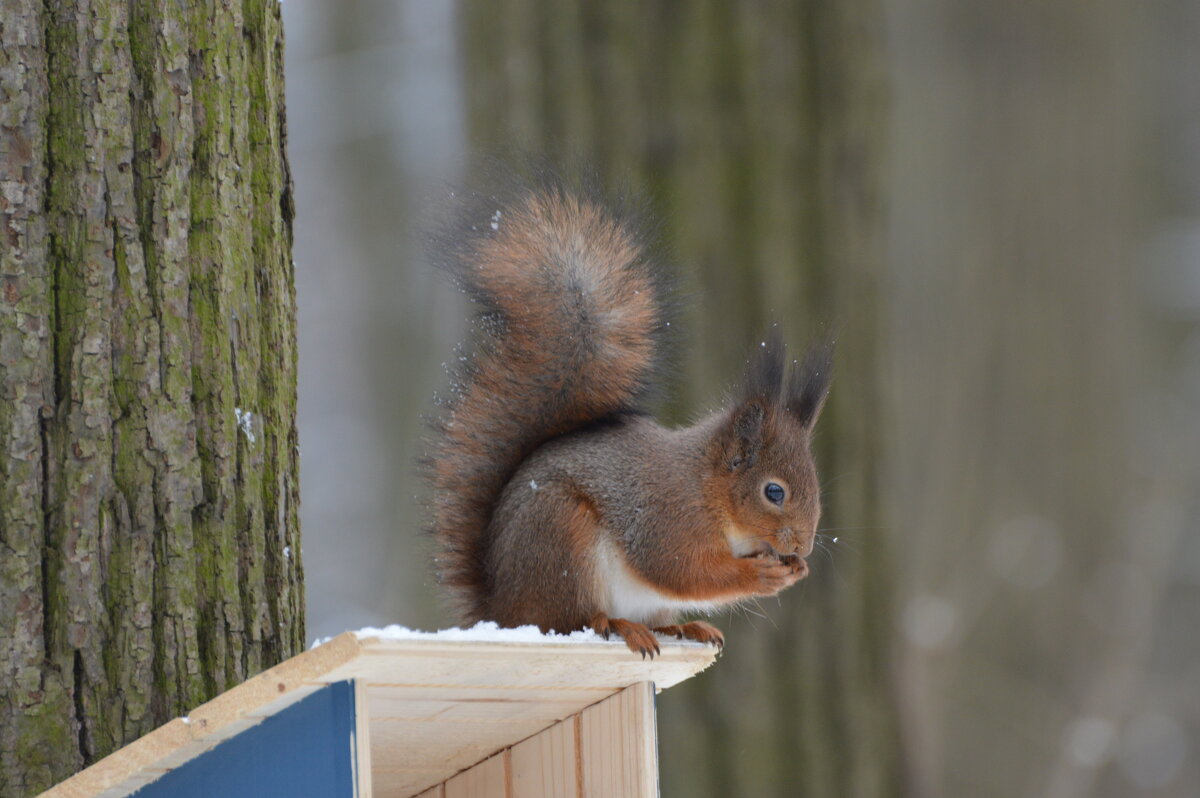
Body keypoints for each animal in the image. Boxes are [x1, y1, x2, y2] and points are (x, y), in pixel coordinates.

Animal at [425, 171, 831, 657]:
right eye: (774, 492)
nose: (804, 546)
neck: (707, 488)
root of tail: (501, 610)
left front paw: (795, 569)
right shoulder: (665, 518)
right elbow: (681, 571)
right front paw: (762, 574)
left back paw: (684, 628)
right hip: (563, 539)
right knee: (571, 620)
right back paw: (617, 624)